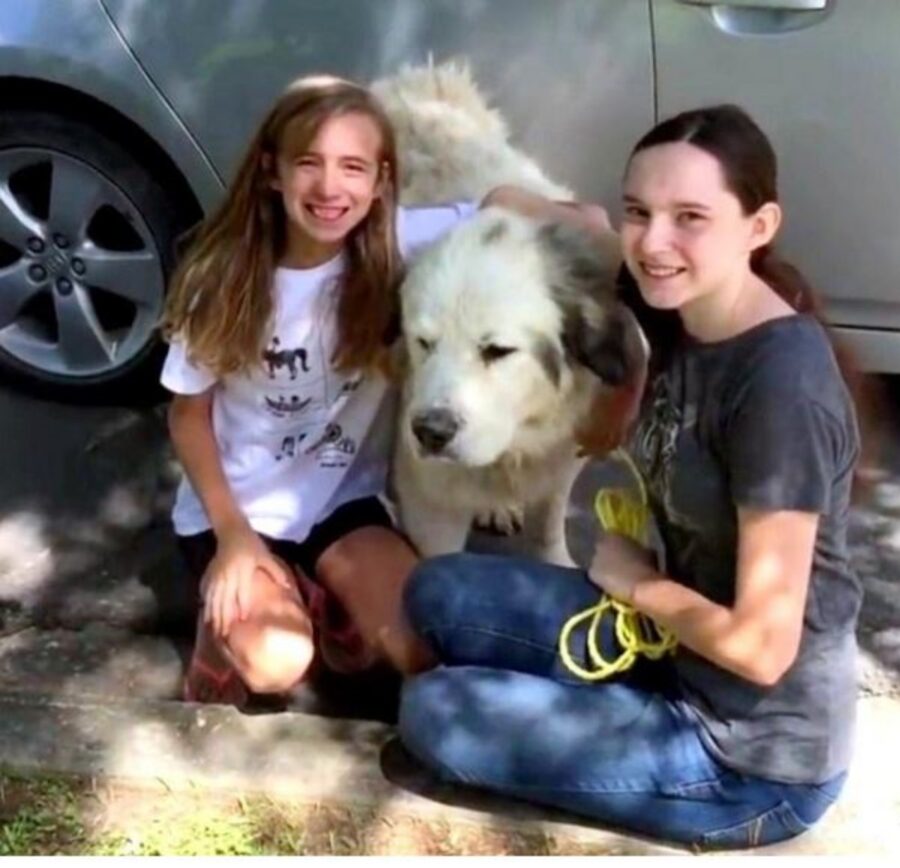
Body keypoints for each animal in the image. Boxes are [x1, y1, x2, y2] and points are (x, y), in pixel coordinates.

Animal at [372, 61, 648, 564]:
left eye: (497, 351)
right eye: (424, 344)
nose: (431, 432)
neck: (518, 440)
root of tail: (414, 83)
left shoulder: (564, 451)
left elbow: (550, 522)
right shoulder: (430, 497)